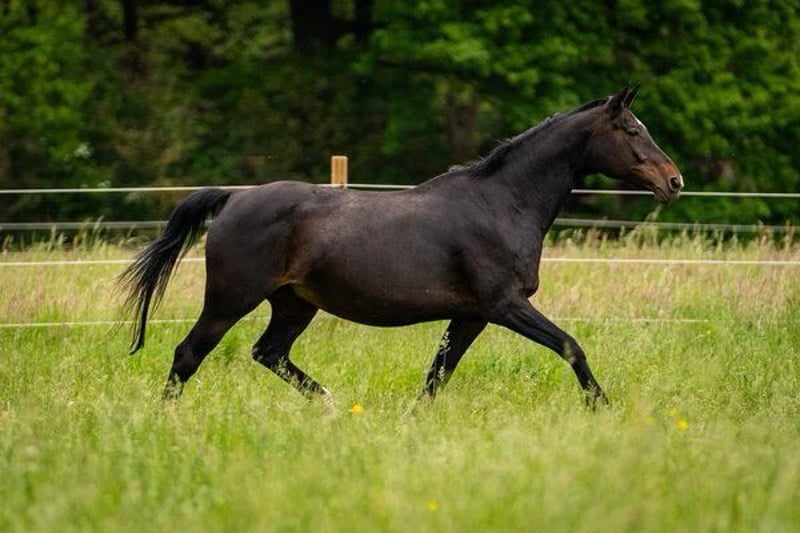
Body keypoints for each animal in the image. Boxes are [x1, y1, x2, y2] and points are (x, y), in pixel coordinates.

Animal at [120, 85, 682, 407]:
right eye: (633, 130)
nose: (674, 181)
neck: (502, 203)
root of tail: (236, 196)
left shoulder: (472, 315)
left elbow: (437, 376)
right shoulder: (505, 306)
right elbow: (570, 346)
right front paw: (601, 407)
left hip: (294, 304)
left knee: (269, 353)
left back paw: (331, 402)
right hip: (231, 299)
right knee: (189, 354)